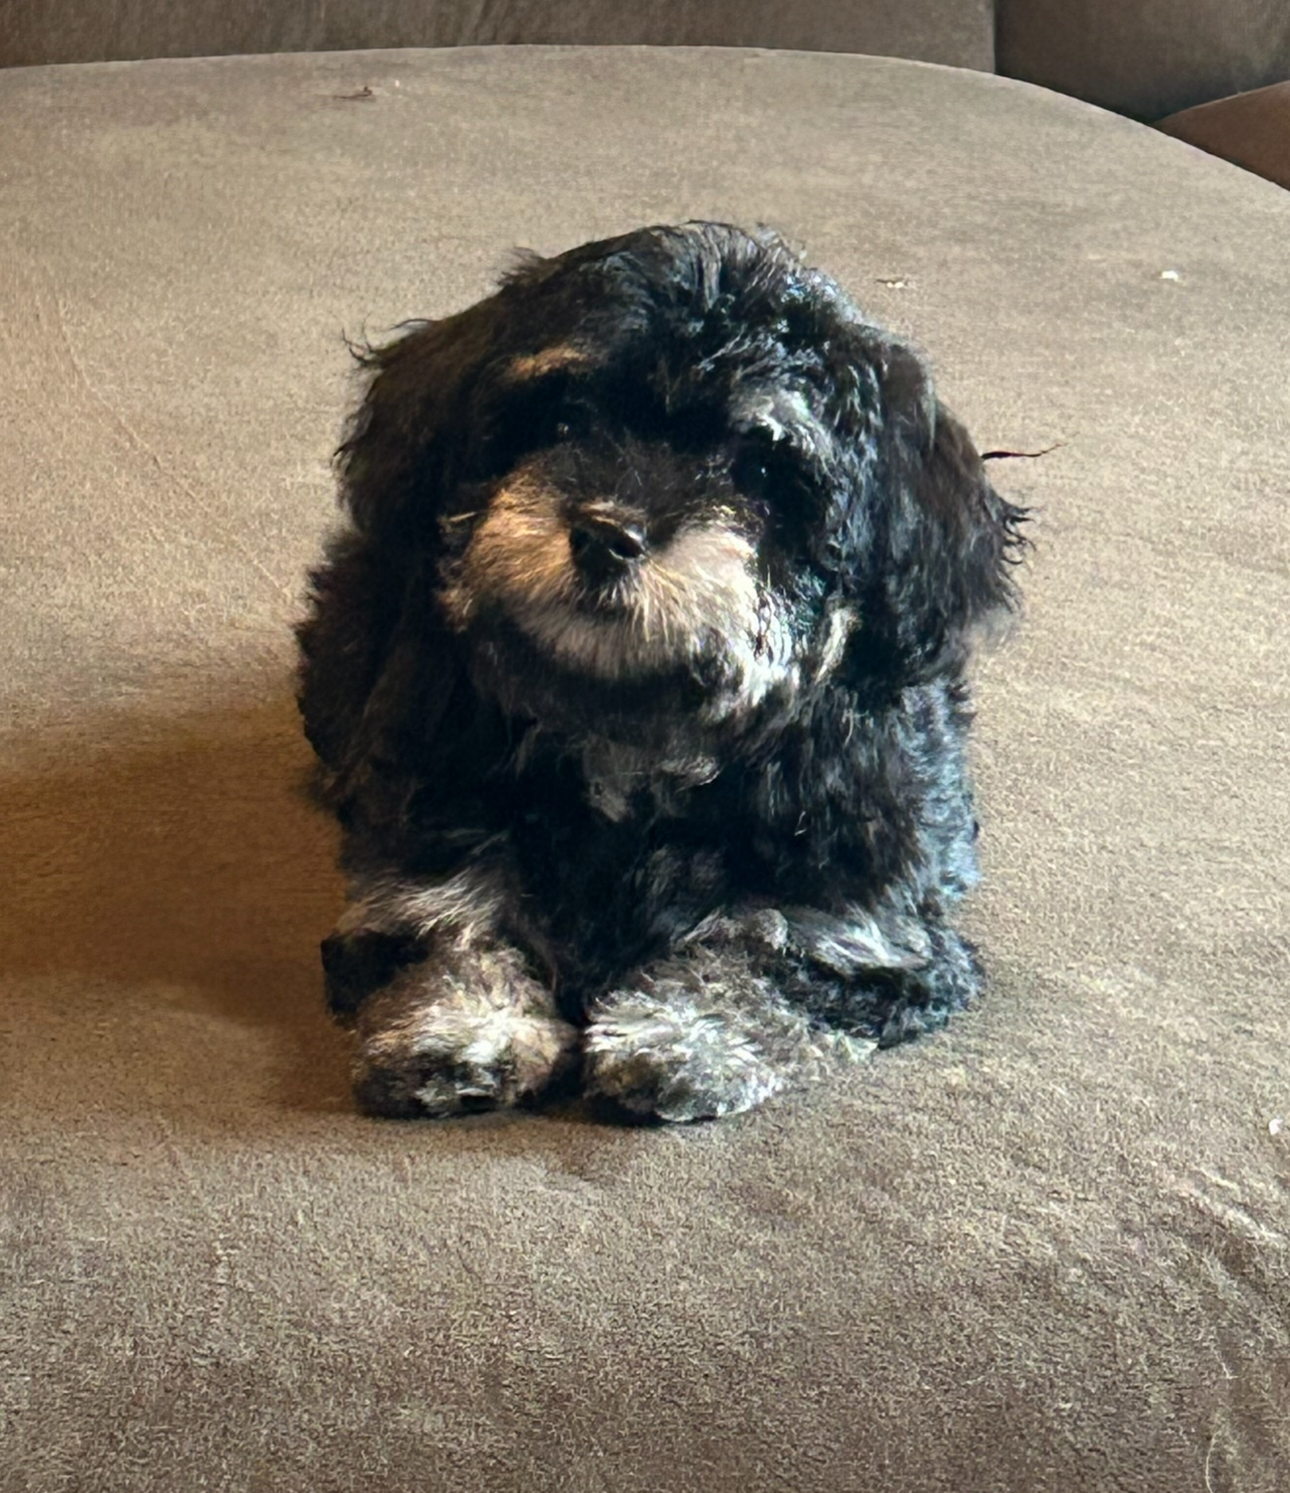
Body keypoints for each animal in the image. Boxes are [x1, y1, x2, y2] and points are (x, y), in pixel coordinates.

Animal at [297, 220, 1021, 1122]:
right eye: (566, 420)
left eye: (760, 471)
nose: (608, 533)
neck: (630, 735)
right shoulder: (422, 855)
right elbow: (450, 924)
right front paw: (463, 1028)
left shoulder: (865, 931)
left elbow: (762, 956)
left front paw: (683, 1036)